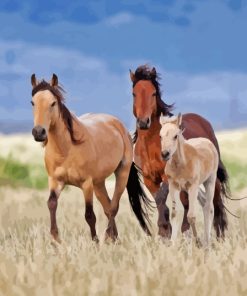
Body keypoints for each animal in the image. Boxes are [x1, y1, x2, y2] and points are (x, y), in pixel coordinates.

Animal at [29, 73, 151, 242]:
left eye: (53, 103)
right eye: (32, 102)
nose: (39, 132)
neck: (66, 149)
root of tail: (118, 125)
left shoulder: (86, 184)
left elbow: (89, 215)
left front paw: (95, 241)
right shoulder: (55, 181)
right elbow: (51, 204)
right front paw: (55, 240)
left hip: (121, 173)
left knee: (113, 207)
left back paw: (108, 237)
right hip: (98, 183)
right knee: (108, 207)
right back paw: (114, 239)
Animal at [159, 114, 219, 247]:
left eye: (175, 136)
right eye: (160, 136)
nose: (165, 154)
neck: (181, 164)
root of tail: (208, 142)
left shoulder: (193, 186)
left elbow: (191, 216)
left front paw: (198, 242)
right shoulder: (173, 186)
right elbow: (174, 213)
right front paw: (173, 244)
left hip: (210, 181)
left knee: (208, 207)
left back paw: (207, 242)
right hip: (186, 189)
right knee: (204, 203)